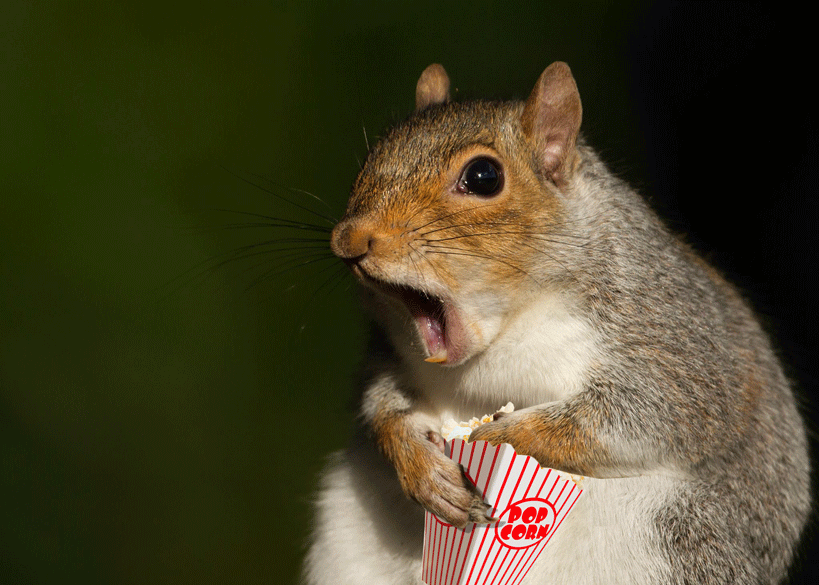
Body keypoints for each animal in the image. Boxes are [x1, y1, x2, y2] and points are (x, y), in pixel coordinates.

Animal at [302, 62, 811, 584]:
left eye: (484, 176)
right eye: (373, 155)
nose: (348, 239)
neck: (505, 333)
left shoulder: (673, 343)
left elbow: (642, 416)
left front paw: (498, 436)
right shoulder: (390, 352)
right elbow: (382, 403)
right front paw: (420, 464)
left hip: (680, 540)